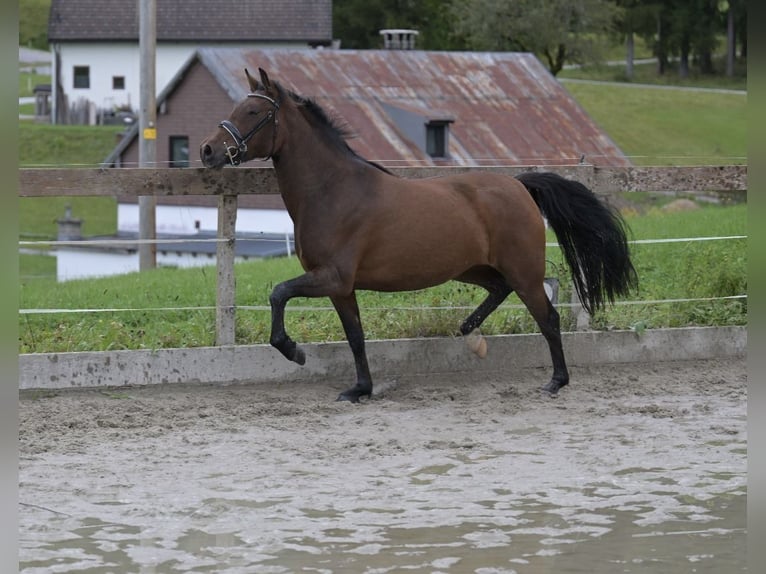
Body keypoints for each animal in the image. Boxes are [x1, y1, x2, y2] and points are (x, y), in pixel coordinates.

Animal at [201, 68, 640, 404]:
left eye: (253, 111)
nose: (208, 150)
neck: (333, 190)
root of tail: (519, 185)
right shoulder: (342, 288)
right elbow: (355, 337)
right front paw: (360, 389)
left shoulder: (333, 278)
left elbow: (278, 294)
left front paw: (294, 352)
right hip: (470, 268)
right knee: (499, 291)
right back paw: (469, 332)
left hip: (523, 271)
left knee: (547, 317)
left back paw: (555, 381)